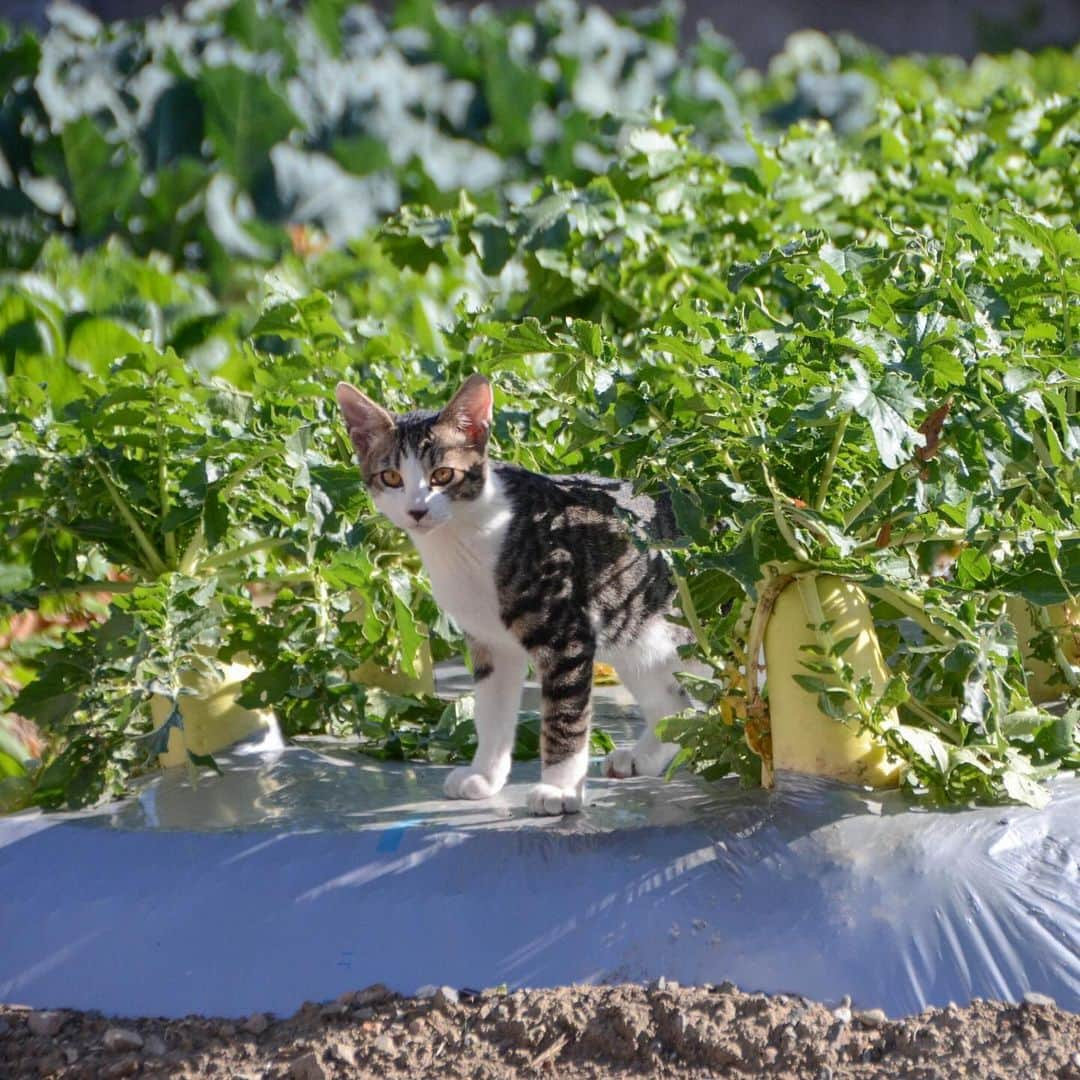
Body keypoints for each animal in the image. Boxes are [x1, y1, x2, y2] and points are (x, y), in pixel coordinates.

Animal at [332, 375, 695, 812]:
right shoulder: (490, 642)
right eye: (391, 478)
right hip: (636, 628)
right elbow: (490, 712)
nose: (416, 511)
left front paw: (559, 789)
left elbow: (563, 717)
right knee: (674, 701)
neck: (461, 538)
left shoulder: (566, 635)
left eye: (443, 475)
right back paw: (644, 755)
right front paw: (485, 776)